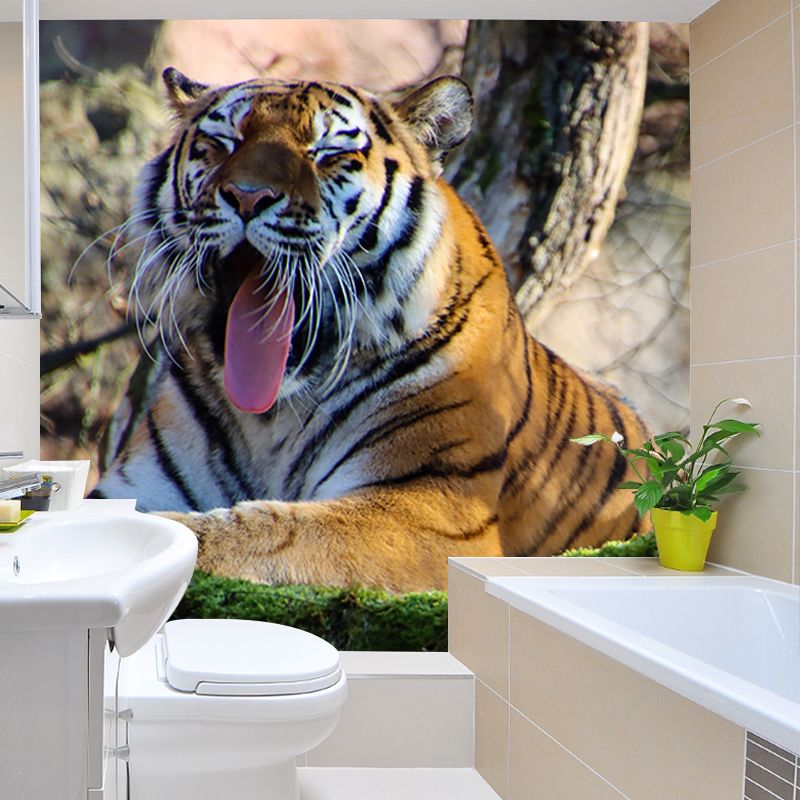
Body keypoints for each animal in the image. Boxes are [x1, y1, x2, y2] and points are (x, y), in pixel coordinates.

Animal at [91, 67, 650, 591]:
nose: (247, 197)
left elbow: (272, 528)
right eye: (224, 142)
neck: (271, 420)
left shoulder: (434, 509)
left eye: (326, 154)